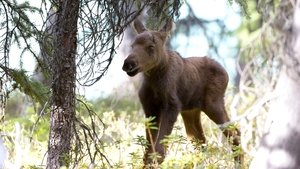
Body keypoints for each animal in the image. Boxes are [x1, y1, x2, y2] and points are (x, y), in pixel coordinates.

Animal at [123, 18, 243, 166]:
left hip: (213, 104)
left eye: (151, 47)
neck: (154, 80)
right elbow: (148, 151)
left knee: (234, 132)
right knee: (201, 141)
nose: (128, 64)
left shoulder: (172, 105)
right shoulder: (149, 108)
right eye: (132, 46)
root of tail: (226, 73)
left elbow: (159, 150)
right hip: (191, 111)